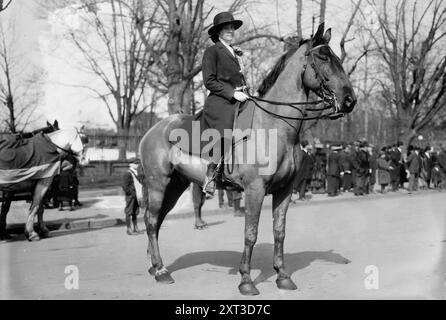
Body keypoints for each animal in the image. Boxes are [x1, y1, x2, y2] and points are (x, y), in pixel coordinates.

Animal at [139, 25, 356, 296]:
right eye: (324, 58)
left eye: (336, 58)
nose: (349, 100)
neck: (274, 126)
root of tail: (152, 130)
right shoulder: (255, 190)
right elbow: (250, 234)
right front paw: (246, 281)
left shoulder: (285, 190)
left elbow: (279, 231)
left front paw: (282, 276)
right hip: (158, 184)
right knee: (150, 222)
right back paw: (160, 271)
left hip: (175, 186)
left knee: (156, 222)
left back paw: (154, 266)